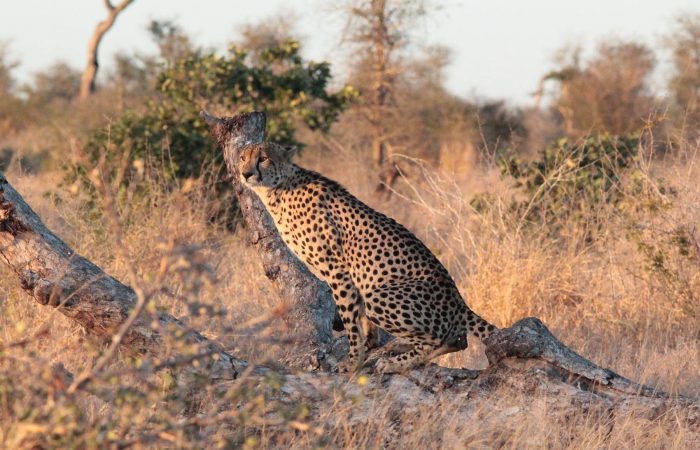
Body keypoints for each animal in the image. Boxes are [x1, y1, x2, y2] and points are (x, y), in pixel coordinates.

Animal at [237, 141, 496, 373]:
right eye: (242, 158)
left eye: (263, 158)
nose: (245, 174)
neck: (278, 190)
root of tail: (459, 300)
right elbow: (360, 318)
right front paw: (369, 343)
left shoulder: (338, 271)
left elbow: (350, 320)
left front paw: (353, 362)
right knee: (458, 340)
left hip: (381, 297)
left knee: (444, 339)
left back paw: (395, 363)